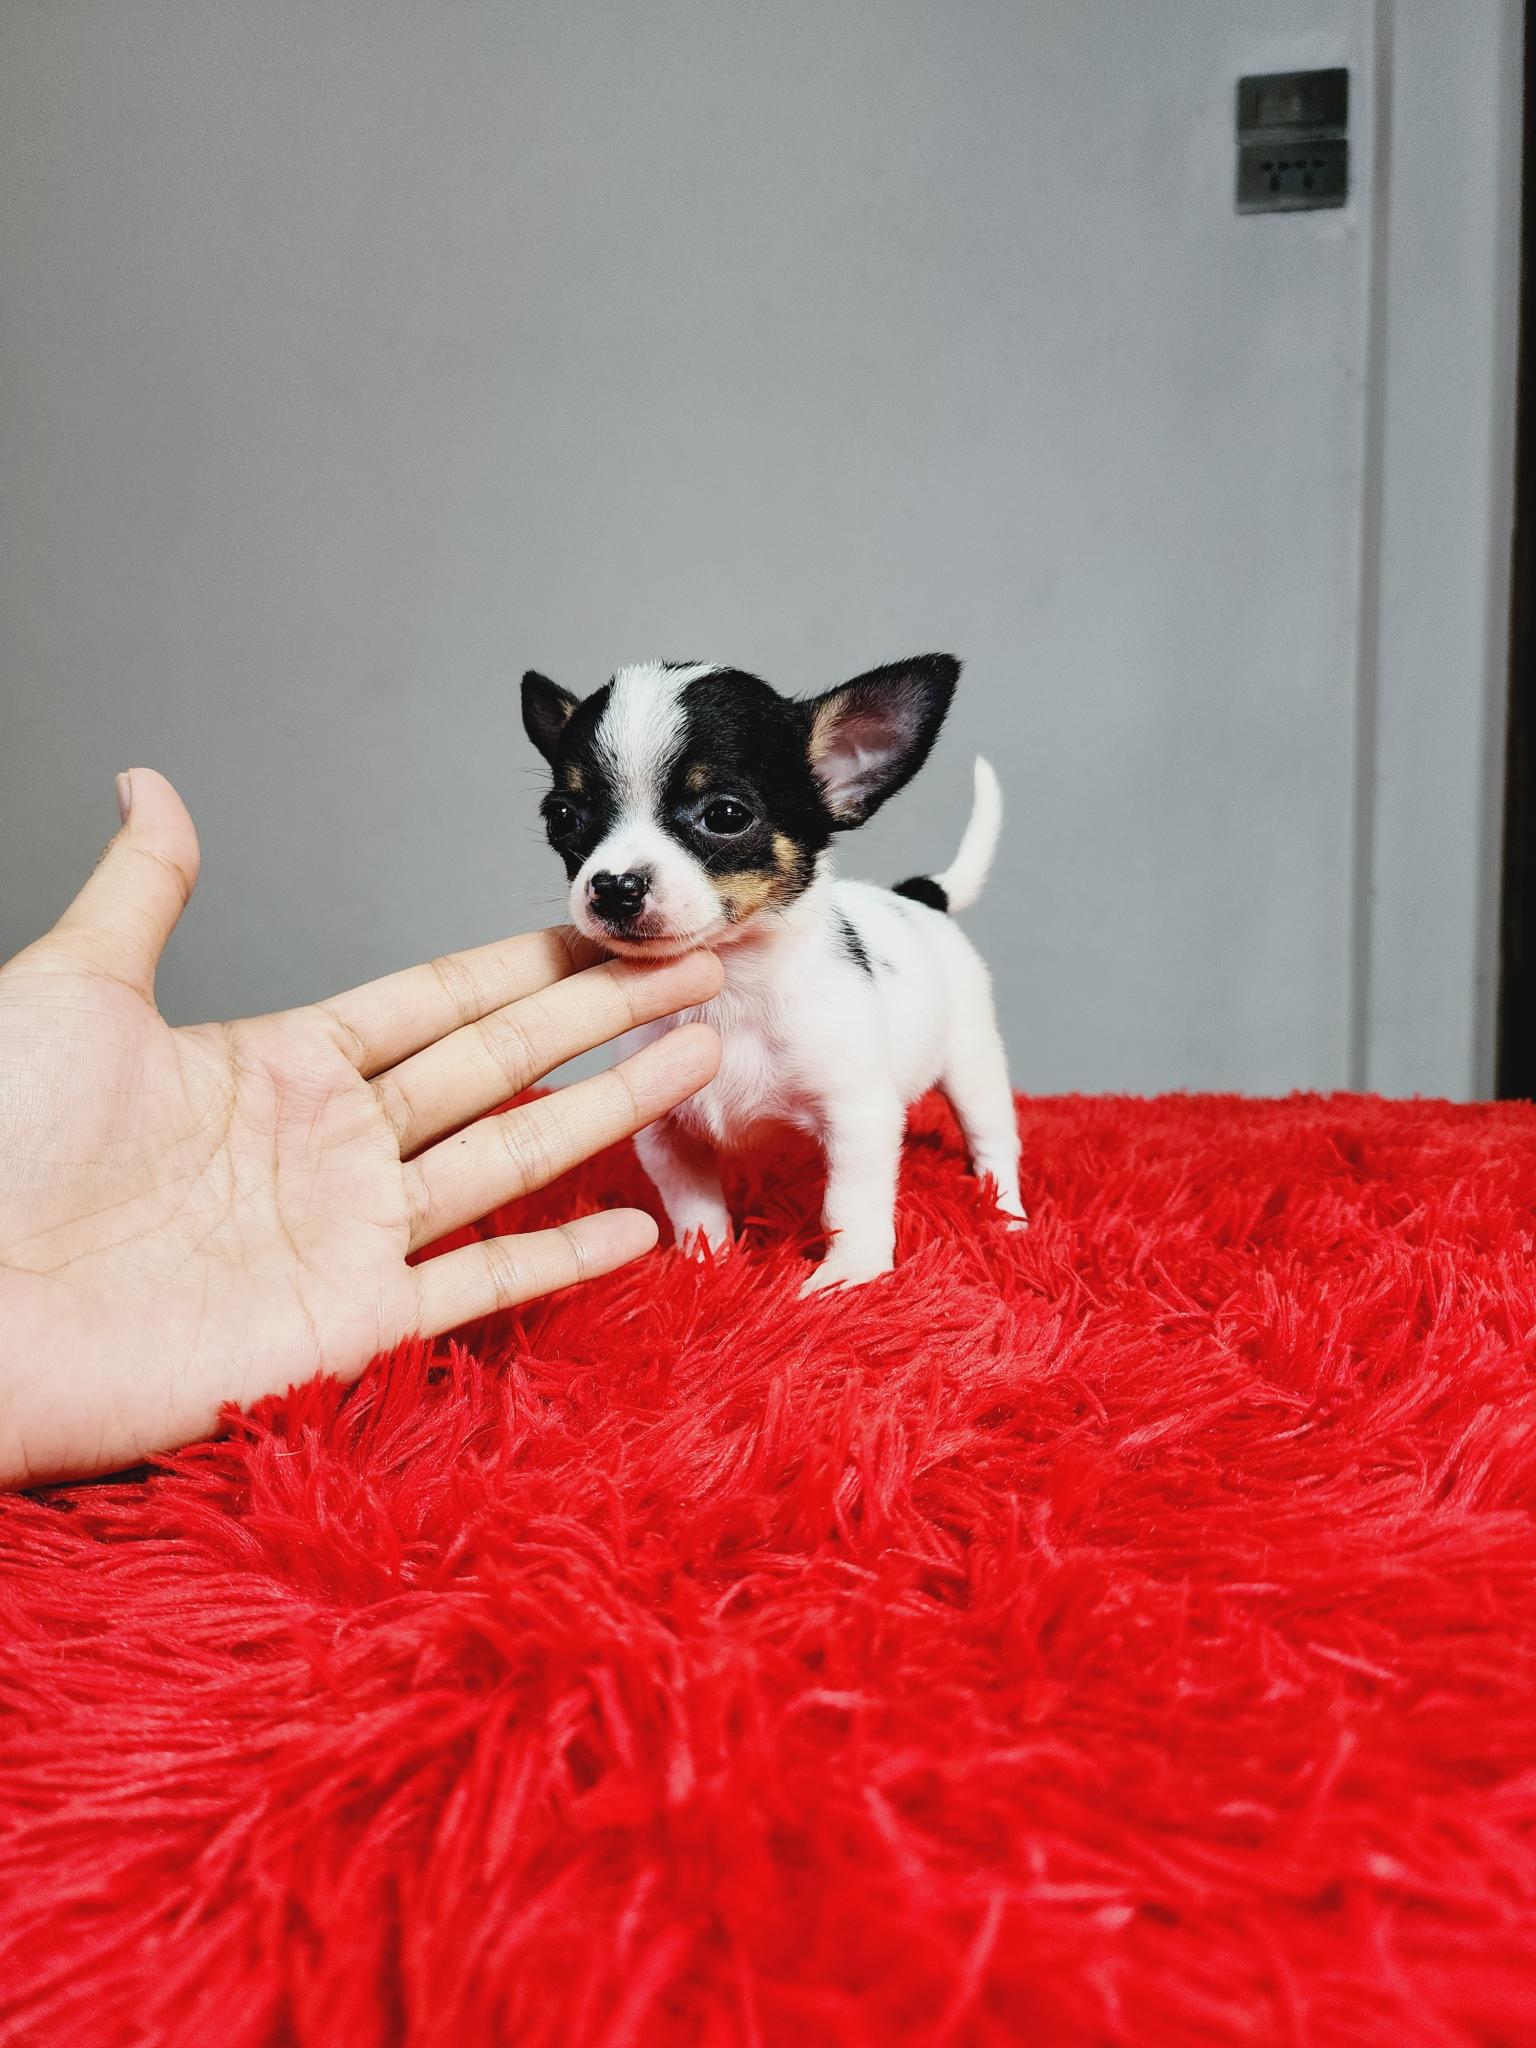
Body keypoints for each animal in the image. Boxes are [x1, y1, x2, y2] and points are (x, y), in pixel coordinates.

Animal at [521, 656, 1025, 1292]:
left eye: (726, 815)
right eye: (562, 818)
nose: (613, 886)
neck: (731, 987)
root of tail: (920, 896)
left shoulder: (858, 1117)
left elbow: (850, 1204)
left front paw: (849, 1277)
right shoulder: (667, 1136)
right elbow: (695, 1207)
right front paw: (705, 1266)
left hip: (971, 1061)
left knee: (992, 1142)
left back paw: (1005, 1216)